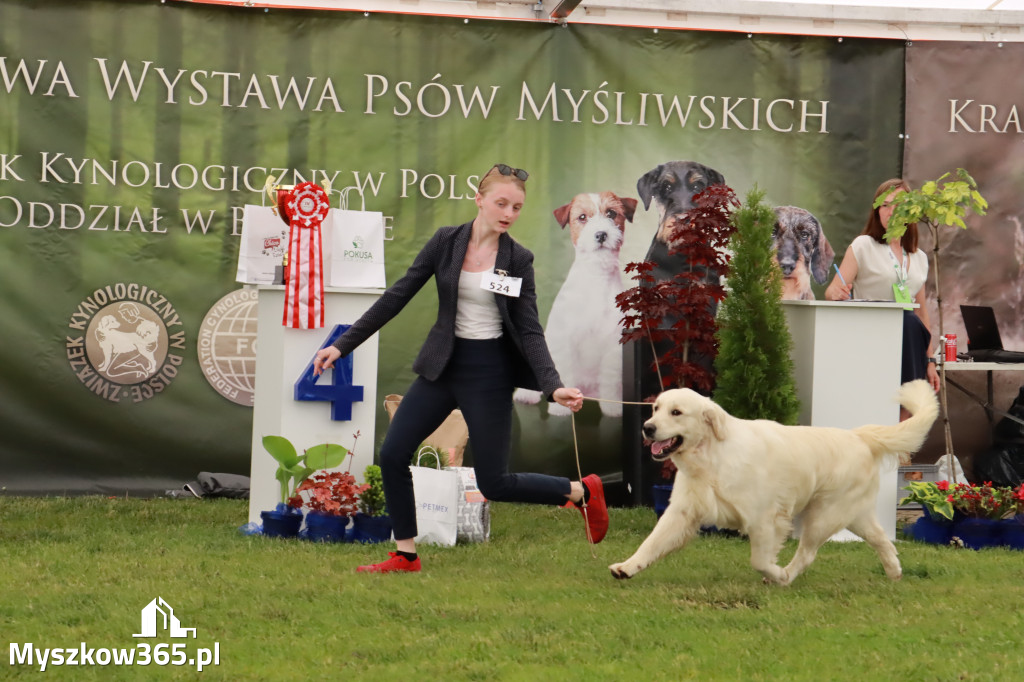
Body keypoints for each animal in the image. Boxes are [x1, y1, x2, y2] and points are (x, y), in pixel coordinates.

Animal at [610, 376, 937, 585]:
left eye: (676, 412)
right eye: (656, 408)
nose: (647, 428)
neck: (712, 457)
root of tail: (859, 436)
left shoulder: (765, 519)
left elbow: (759, 561)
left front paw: (776, 574)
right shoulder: (682, 512)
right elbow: (651, 543)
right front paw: (626, 567)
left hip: (823, 516)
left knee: (807, 554)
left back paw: (787, 577)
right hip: (853, 515)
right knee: (882, 539)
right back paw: (894, 571)